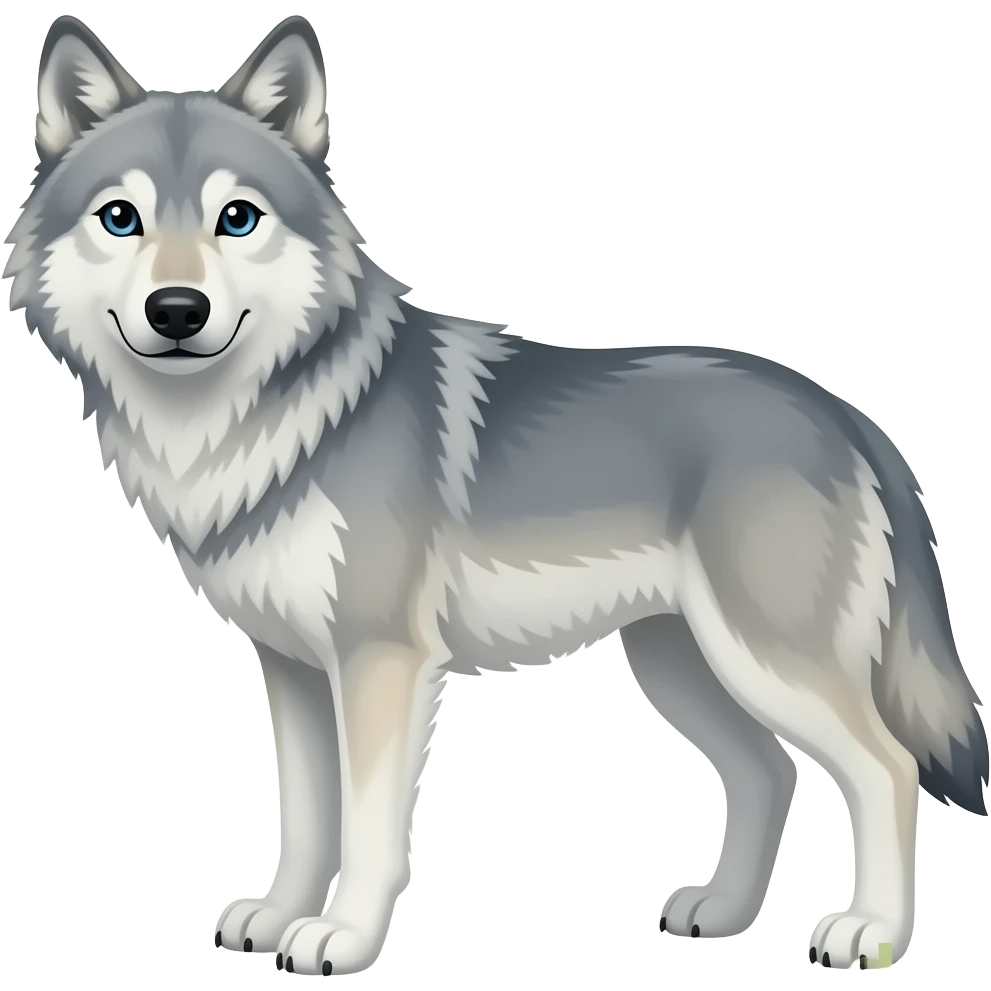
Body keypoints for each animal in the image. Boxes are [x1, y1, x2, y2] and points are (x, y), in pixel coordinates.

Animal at [5, 11, 987, 977]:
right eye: (121, 218)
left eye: (236, 218)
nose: (177, 310)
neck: (253, 426)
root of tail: (844, 412)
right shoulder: (291, 669)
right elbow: (305, 818)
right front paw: (278, 917)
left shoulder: (381, 663)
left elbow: (367, 829)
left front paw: (341, 939)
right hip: (681, 664)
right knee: (767, 772)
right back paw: (721, 912)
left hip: (765, 661)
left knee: (886, 768)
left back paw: (870, 935)